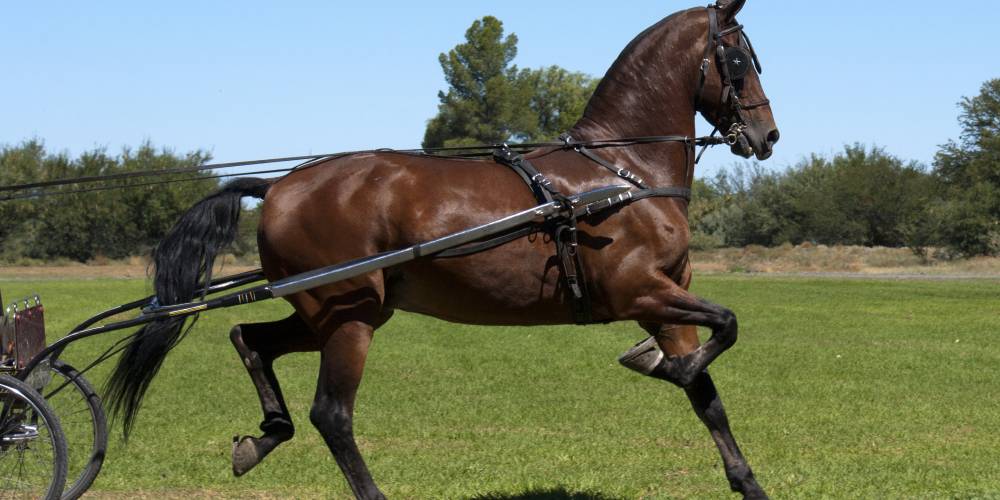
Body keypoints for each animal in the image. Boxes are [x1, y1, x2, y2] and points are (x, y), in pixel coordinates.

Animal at [106, 0, 779, 498]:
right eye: (739, 57)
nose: (767, 135)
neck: (620, 174)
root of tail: (280, 186)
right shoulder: (640, 291)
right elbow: (725, 330)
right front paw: (664, 365)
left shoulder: (664, 300)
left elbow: (710, 399)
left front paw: (746, 481)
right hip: (348, 318)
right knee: (332, 415)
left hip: (335, 312)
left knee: (250, 339)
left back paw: (264, 435)